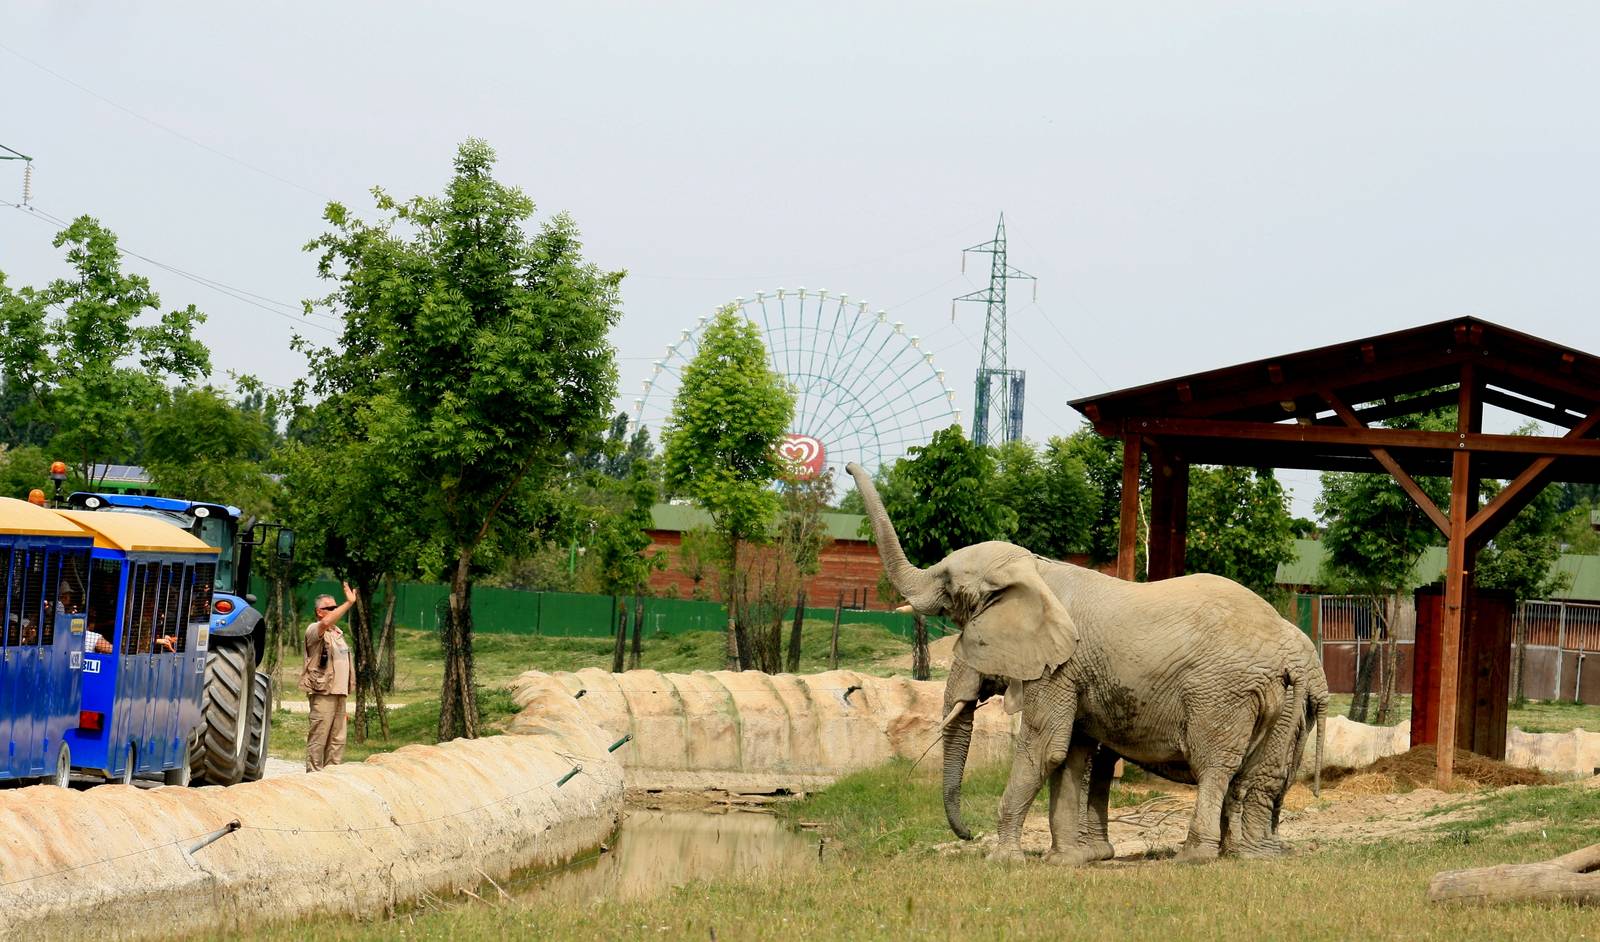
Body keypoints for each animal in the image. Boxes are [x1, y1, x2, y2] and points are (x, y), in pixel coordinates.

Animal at [847, 461, 1326, 864]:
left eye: (951, 596)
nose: (966, 834)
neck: (1036, 568)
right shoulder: (1073, 674)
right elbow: (1071, 753)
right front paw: (1068, 862)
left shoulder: (1060, 669)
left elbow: (1046, 747)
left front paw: (1003, 862)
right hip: (1284, 702)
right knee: (1263, 775)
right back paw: (1253, 856)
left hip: (1221, 694)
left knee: (1215, 766)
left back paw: (1195, 857)